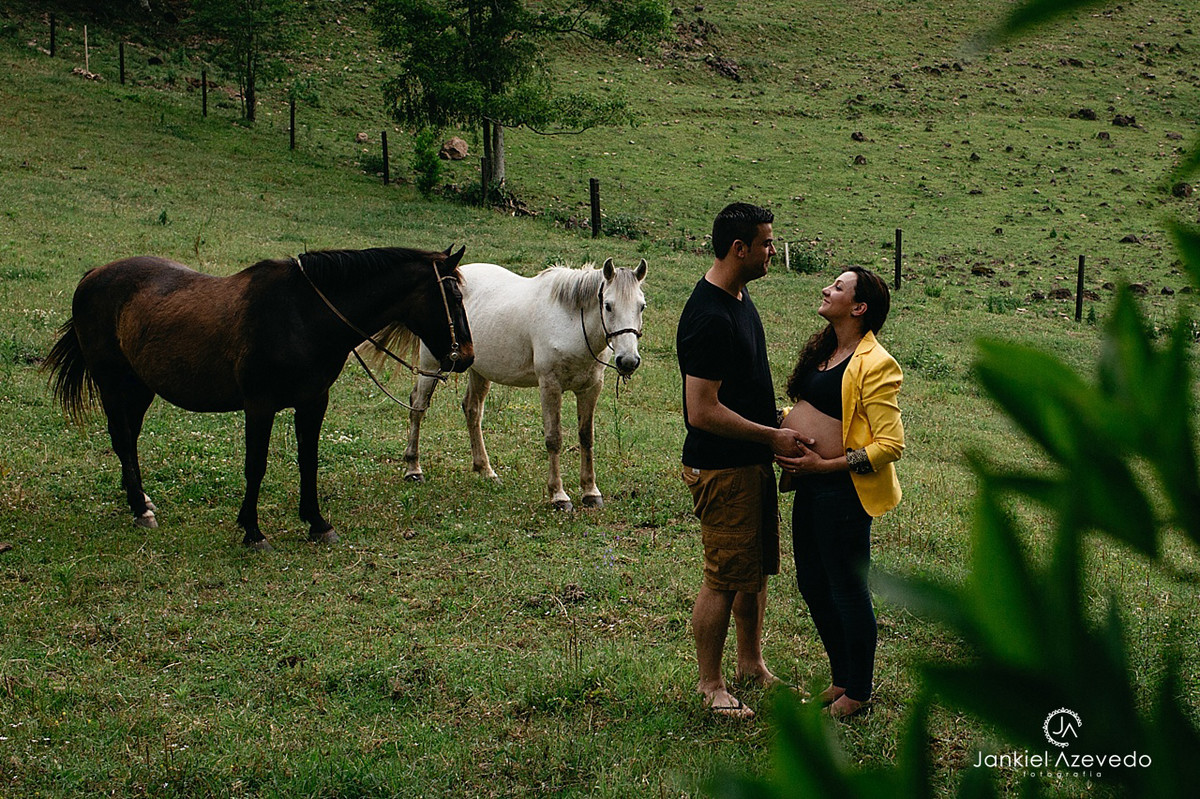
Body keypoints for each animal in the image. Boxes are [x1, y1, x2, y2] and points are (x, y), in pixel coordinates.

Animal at [43, 246, 474, 550]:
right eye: (453, 299)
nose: (466, 356)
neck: (302, 316)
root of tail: (93, 276)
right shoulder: (259, 405)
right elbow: (256, 466)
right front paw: (252, 531)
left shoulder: (313, 402)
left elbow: (308, 462)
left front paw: (317, 522)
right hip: (113, 384)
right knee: (121, 439)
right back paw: (138, 506)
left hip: (139, 386)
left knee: (129, 439)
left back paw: (141, 501)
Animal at [364, 257, 646, 511]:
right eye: (608, 306)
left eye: (641, 306)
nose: (628, 361)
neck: (570, 323)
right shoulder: (550, 386)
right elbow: (554, 439)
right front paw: (558, 495)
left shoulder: (590, 388)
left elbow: (586, 437)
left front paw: (590, 492)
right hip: (431, 365)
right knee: (418, 407)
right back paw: (414, 469)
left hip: (478, 370)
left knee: (472, 410)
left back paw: (485, 470)